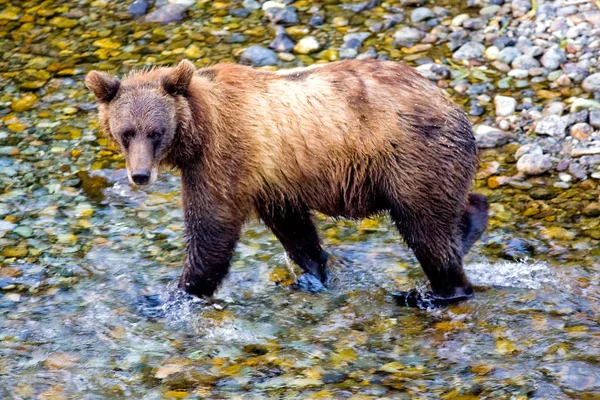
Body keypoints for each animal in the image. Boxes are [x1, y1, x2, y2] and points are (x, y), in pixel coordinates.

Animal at [85, 59, 488, 308]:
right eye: (126, 132)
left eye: (156, 132)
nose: (140, 175)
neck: (197, 133)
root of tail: (452, 104)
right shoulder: (272, 181)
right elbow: (296, 232)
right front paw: (312, 275)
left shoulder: (226, 157)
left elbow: (212, 229)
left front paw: (172, 296)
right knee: (451, 208)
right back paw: (470, 223)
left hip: (409, 156)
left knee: (425, 228)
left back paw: (431, 294)